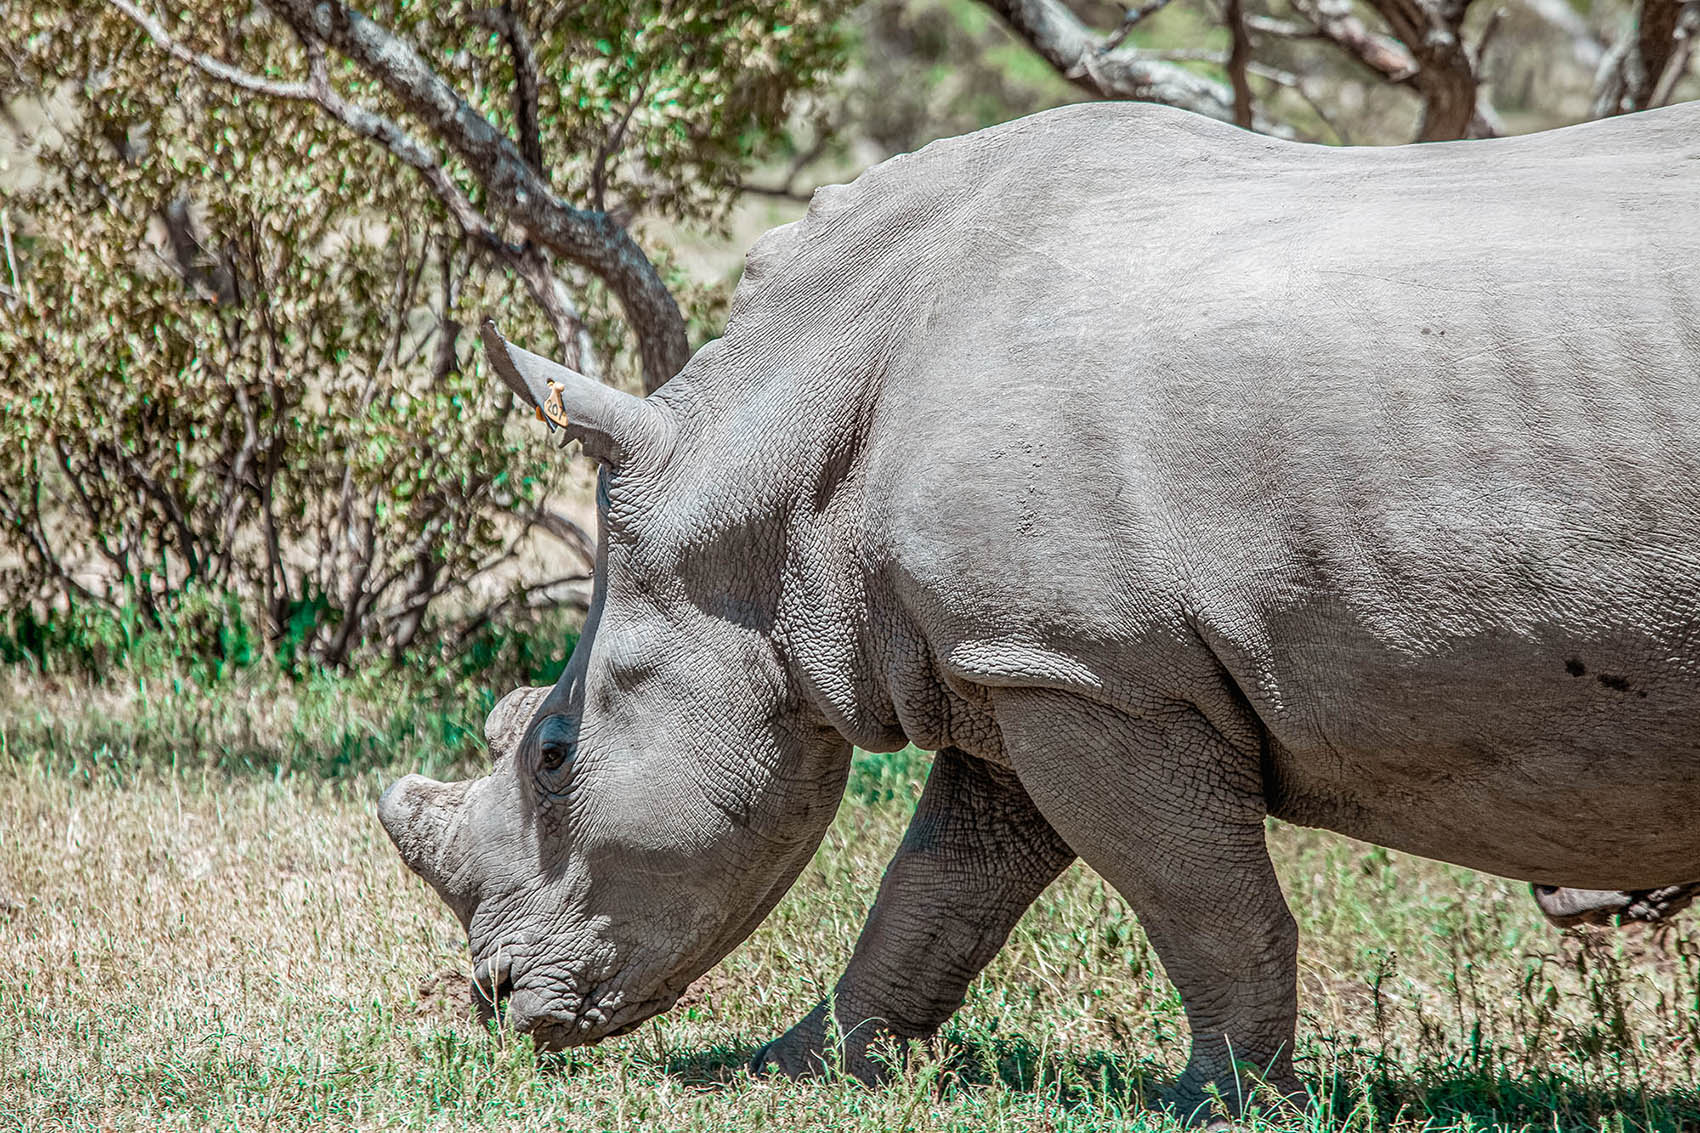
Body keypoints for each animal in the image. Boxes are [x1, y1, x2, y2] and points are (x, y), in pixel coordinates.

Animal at [379, 101, 1700, 1115]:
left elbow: (1199, 903)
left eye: (553, 755)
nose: (500, 1001)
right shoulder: (1010, 659)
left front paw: (1217, 1107)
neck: (766, 478)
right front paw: (799, 1070)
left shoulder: (1095, 669)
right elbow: (936, 889)